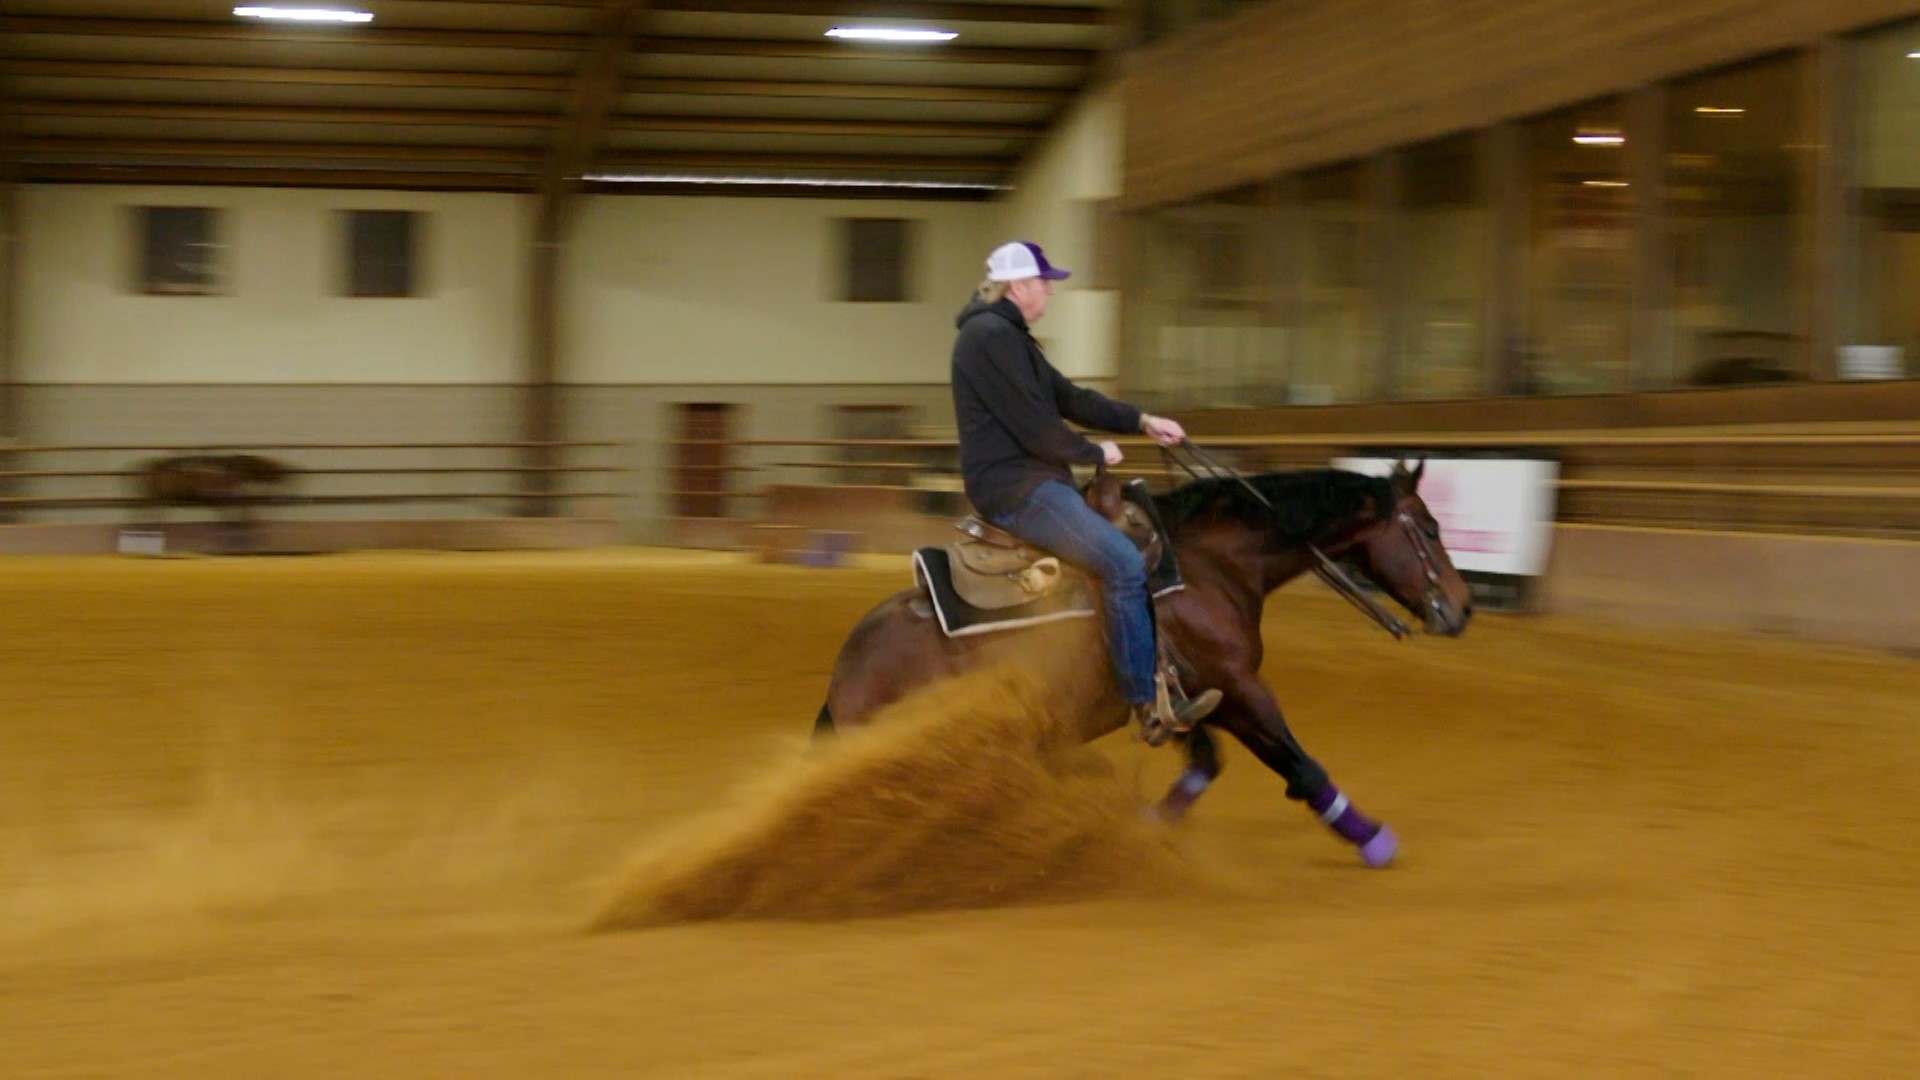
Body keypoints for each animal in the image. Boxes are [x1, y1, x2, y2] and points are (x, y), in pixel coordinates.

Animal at [811, 457, 1474, 868]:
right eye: (1430, 528)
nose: (1463, 608)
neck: (1209, 568)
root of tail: (846, 672)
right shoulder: (1240, 688)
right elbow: (1302, 768)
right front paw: (1377, 843)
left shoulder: (1193, 697)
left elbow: (1205, 764)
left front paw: (1145, 830)